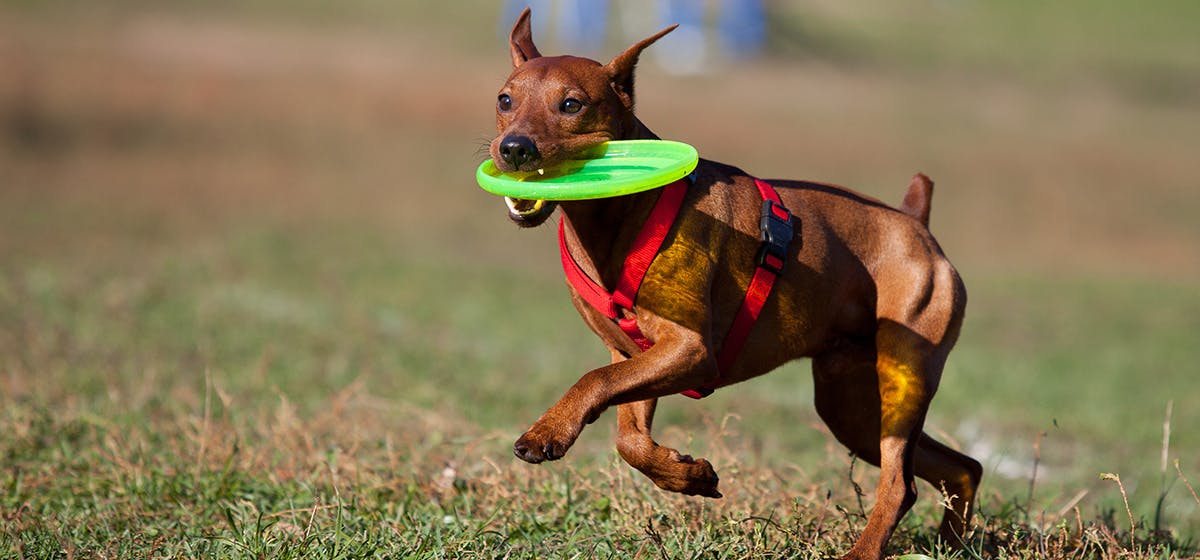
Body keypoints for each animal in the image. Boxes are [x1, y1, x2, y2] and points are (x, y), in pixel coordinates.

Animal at [487, 8, 984, 560]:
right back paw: (953, 546)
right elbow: (628, 439)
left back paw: (866, 551)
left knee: (901, 482)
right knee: (961, 468)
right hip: (850, 407)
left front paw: (545, 432)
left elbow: (593, 380)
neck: (612, 218)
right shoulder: (633, 355)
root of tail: (914, 220)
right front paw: (688, 476)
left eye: (571, 105)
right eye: (505, 100)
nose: (514, 149)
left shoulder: (691, 351)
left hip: (903, 378)